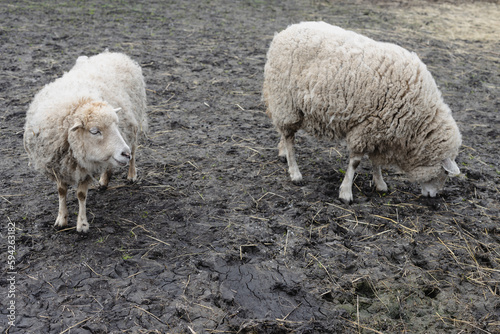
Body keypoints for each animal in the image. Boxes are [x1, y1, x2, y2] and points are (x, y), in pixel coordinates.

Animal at [23, 51, 147, 232]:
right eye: (94, 131)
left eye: (116, 125)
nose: (125, 154)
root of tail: (115, 54)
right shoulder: (58, 165)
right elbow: (61, 191)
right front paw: (61, 219)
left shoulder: (85, 168)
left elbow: (81, 195)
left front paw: (82, 224)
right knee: (111, 162)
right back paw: (104, 179)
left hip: (134, 125)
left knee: (135, 148)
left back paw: (131, 174)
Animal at [264, 22, 462, 204]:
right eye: (444, 172)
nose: (433, 197)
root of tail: (283, 33)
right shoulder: (366, 128)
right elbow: (355, 163)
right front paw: (346, 192)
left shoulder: (380, 131)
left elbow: (376, 160)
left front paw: (380, 183)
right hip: (285, 100)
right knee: (289, 136)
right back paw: (295, 172)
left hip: (286, 105)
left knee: (285, 132)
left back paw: (283, 153)